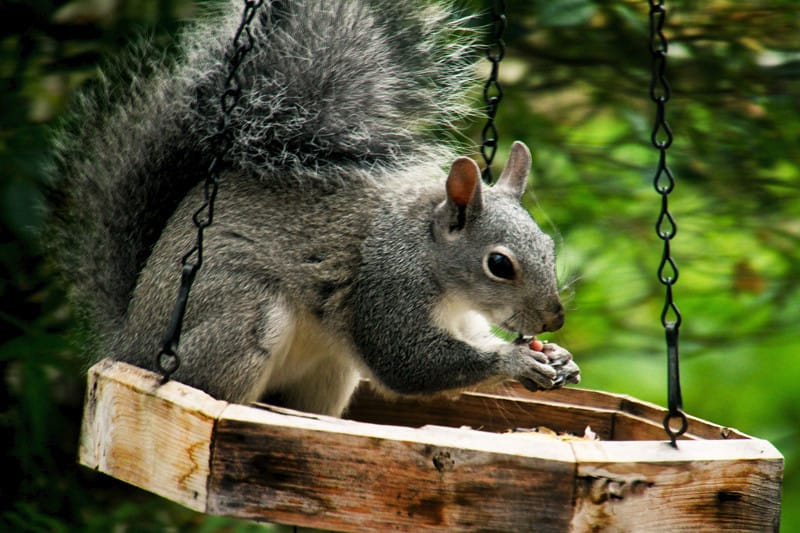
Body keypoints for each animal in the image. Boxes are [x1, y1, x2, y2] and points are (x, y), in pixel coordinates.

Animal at [45, 0, 580, 416]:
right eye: (499, 264)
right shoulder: (386, 285)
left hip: (329, 370)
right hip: (238, 316)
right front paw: (517, 361)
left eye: (549, 246)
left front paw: (558, 357)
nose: (554, 319)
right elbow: (409, 364)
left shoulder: (461, 319)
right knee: (214, 382)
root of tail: (129, 348)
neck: (431, 258)